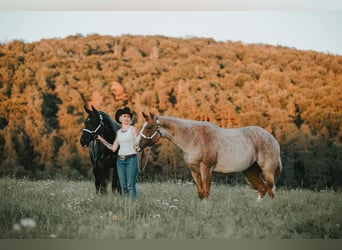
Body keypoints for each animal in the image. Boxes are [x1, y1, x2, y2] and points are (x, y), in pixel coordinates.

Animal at [138, 113, 282, 201]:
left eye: (149, 127)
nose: (137, 146)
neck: (193, 138)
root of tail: (272, 138)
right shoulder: (194, 171)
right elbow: (201, 193)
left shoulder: (206, 168)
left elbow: (206, 191)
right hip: (250, 171)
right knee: (263, 189)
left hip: (267, 170)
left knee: (271, 190)